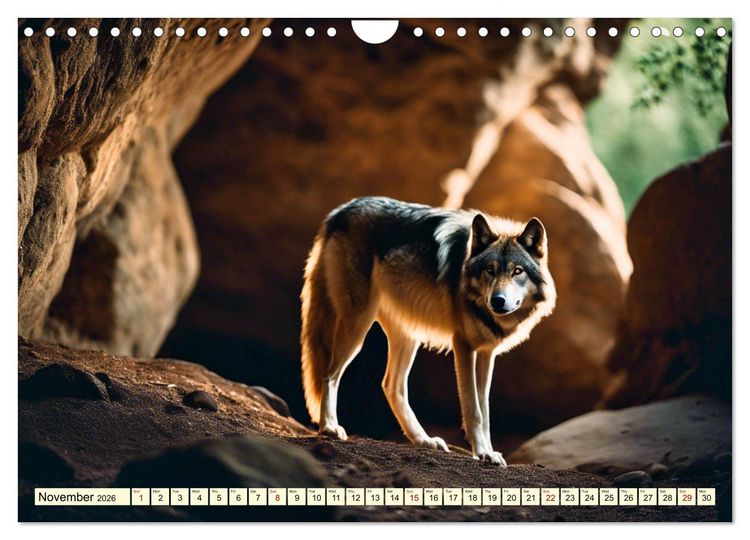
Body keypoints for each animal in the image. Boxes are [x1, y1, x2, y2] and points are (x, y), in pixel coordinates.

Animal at [300, 196, 556, 466]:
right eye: (490, 270)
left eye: (517, 271)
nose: (497, 301)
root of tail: (341, 210)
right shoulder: (463, 346)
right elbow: (473, 410)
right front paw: (483, 452)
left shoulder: (487, 353)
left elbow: (485, 411)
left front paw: (489, 451)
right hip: (357, 324)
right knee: (329, 375)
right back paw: (329, 427)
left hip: (407, 337)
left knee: (391, 385)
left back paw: (424, 440)